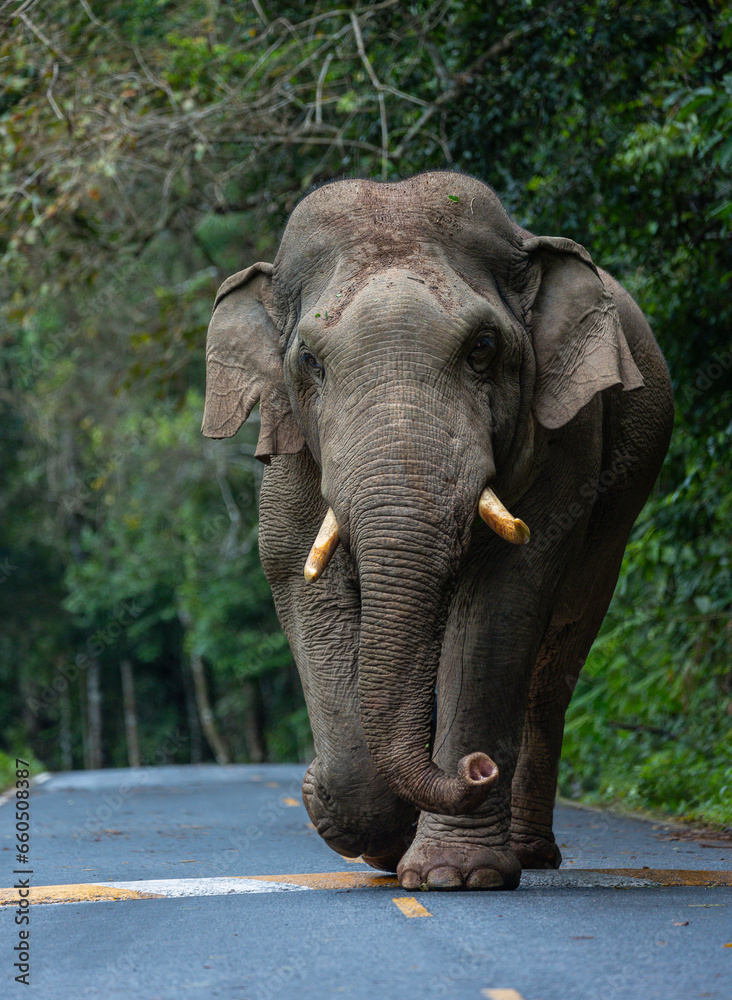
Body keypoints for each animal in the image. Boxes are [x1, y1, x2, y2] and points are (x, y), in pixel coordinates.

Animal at [202, 172, 673, 890]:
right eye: (309, 360)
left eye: (483, 349)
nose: (478, 769)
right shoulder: (289, 445)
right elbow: (298, 574)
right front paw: (360, 826)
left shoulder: (566, 440)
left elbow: (502, 596)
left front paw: (454, 877)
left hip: (618, 519)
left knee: (553, 664)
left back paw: (527, 853)